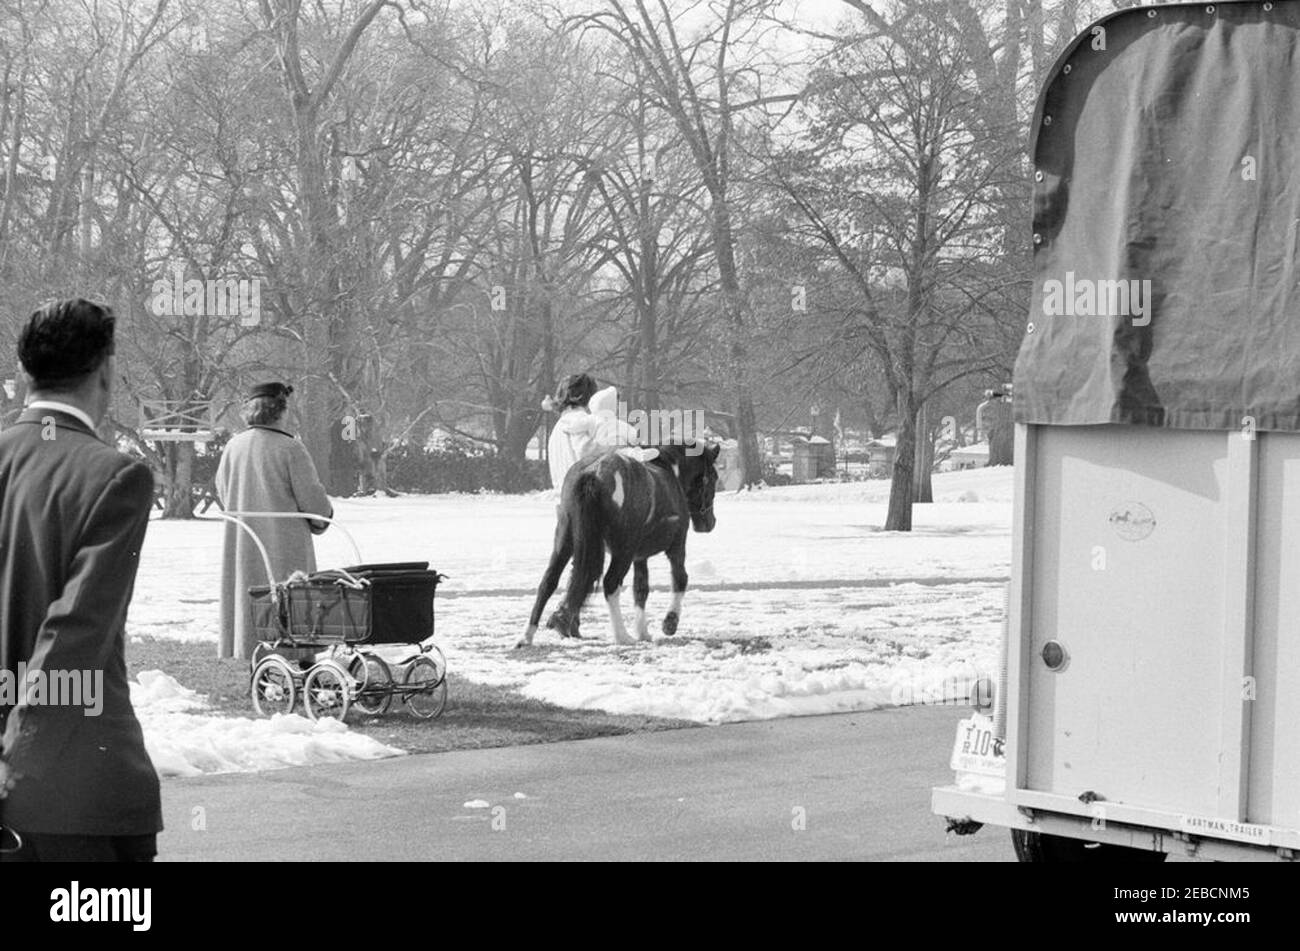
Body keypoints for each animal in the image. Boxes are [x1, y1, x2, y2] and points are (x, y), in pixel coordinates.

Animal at [517, 446, 722, 646]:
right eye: (713, 477)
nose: (710, 523)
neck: (670, 472)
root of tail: (594, 472)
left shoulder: (640, 556)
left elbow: (641, 588)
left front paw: (642, 631)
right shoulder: (676, 546)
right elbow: (680, 578)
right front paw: (669, 623)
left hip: (566, 541)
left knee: (549, 581)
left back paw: (529, 635)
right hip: (623, 551)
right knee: (610, 583)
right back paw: (621, 635)